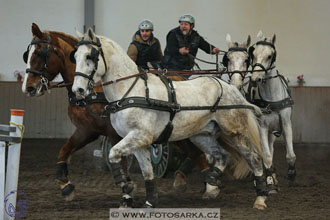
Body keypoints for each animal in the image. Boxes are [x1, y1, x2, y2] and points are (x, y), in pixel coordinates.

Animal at [71, 28, 270, 209]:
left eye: (90, 56)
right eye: (75, 56)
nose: (78, 90)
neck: (130, 91)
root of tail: (233, 90)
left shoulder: (139, 136)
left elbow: (113, 154)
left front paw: (128, 188)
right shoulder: (138, 142)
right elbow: (147, 172)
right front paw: (148, 201)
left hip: (235, 132)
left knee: (254, 158)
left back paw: (260, 198)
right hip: (201, 135)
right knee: (222, 156)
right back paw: (212, 183)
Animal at [248, 31, 296, 189]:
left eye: (270, 56)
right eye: (253, 54)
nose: (255, 79)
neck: (271, 98)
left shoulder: (286, 123)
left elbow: (290, 155)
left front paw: (291, 174)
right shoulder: (262, 126)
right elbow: (267, 156)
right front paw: (269, 180)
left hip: (272, 132)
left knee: (270, 147)